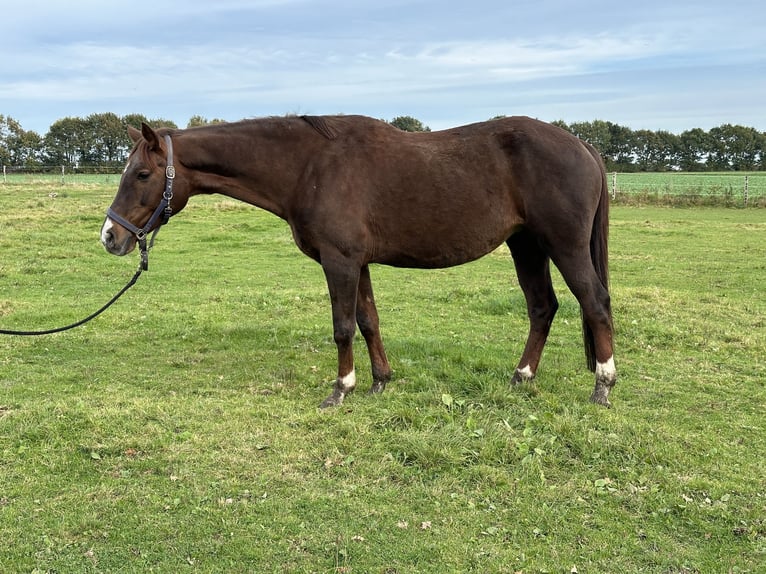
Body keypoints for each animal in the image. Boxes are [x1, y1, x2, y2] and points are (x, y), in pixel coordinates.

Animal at [102, 113, 616, 410]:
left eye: (142, 174)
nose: (110, 236)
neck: (309, 166)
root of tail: (583, 146)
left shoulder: (340, 262)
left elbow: (343, 326)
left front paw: (341, 388)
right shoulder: (359, 263)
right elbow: (369, 321)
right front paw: (379, 382)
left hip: (563, 246)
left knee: (595, 304)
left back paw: (603, 387)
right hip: (526, 245)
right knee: (543, 307)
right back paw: (521, 378)